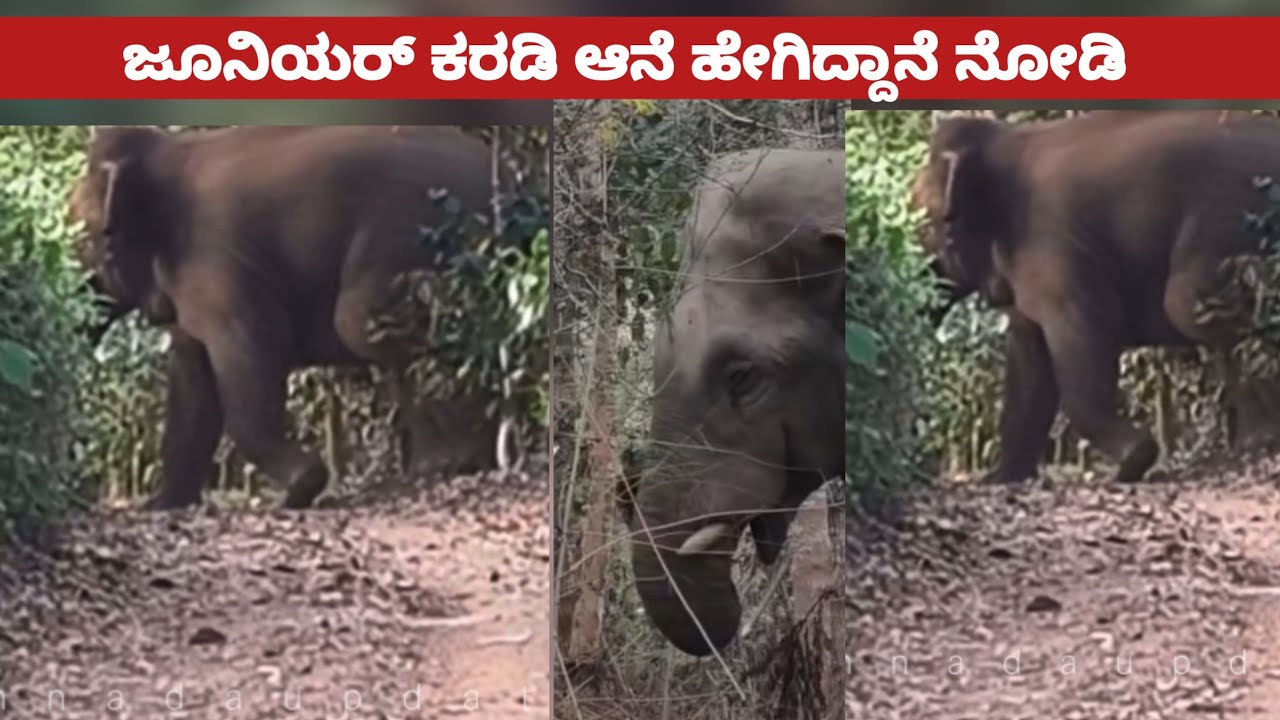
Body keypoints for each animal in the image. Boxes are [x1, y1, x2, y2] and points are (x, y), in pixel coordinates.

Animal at [70, 124, 515, 509]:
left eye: (83, 237)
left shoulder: (218, 262)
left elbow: (253, 351)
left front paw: (301, 488)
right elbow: (192, 382)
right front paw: (161, 505)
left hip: (420, 230)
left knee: (359, 322)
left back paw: (455, 462)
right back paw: (442, 464)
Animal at [912, 109, 1280, 486]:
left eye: (922, 227)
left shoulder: (1054, 247)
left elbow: (1087, 332)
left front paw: (1133, 462)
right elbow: (1029, 364)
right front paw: (999, 478)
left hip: (1237, 217)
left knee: (1188, 306)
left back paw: (1261, 439)